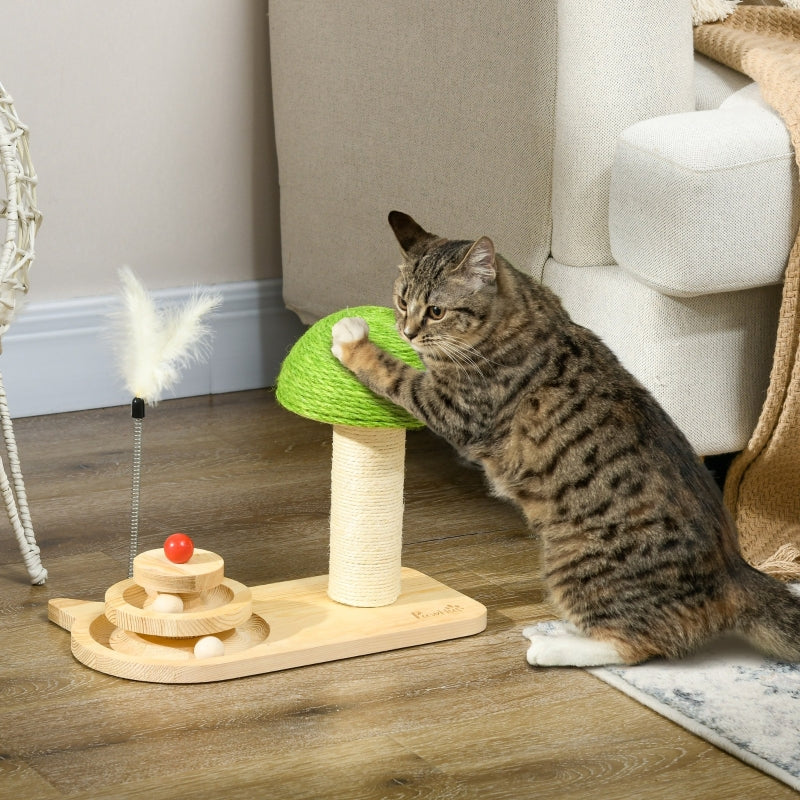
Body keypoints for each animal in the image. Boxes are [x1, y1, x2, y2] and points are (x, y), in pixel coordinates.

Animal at [332, 212, 800, 668]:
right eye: (401, 301)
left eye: (436, 310)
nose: (407, 331)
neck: (523, 315)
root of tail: (736, 572)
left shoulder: (456, 406)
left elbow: (395, 374)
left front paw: (353, 339)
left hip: (571, 562)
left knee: (638, 645)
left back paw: (552, 645)